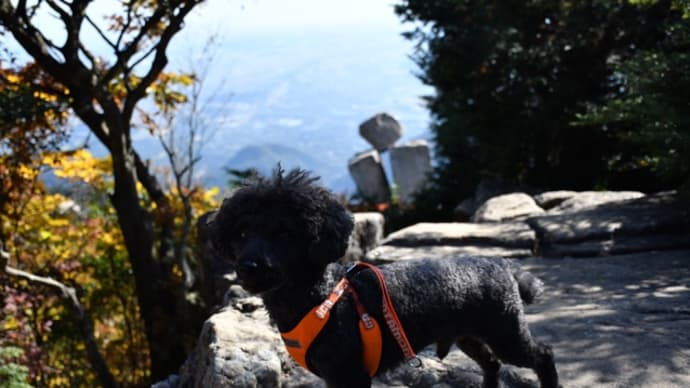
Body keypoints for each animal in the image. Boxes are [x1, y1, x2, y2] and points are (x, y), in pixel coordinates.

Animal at [211, 168, 560, 388]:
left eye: (284, 233)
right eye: (241, 233)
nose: (249, 266)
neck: (319, 298)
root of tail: (503, 265)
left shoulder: (349, 374)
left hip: (505, 331)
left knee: (542, 355)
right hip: (469, 335)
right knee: (491, 364)